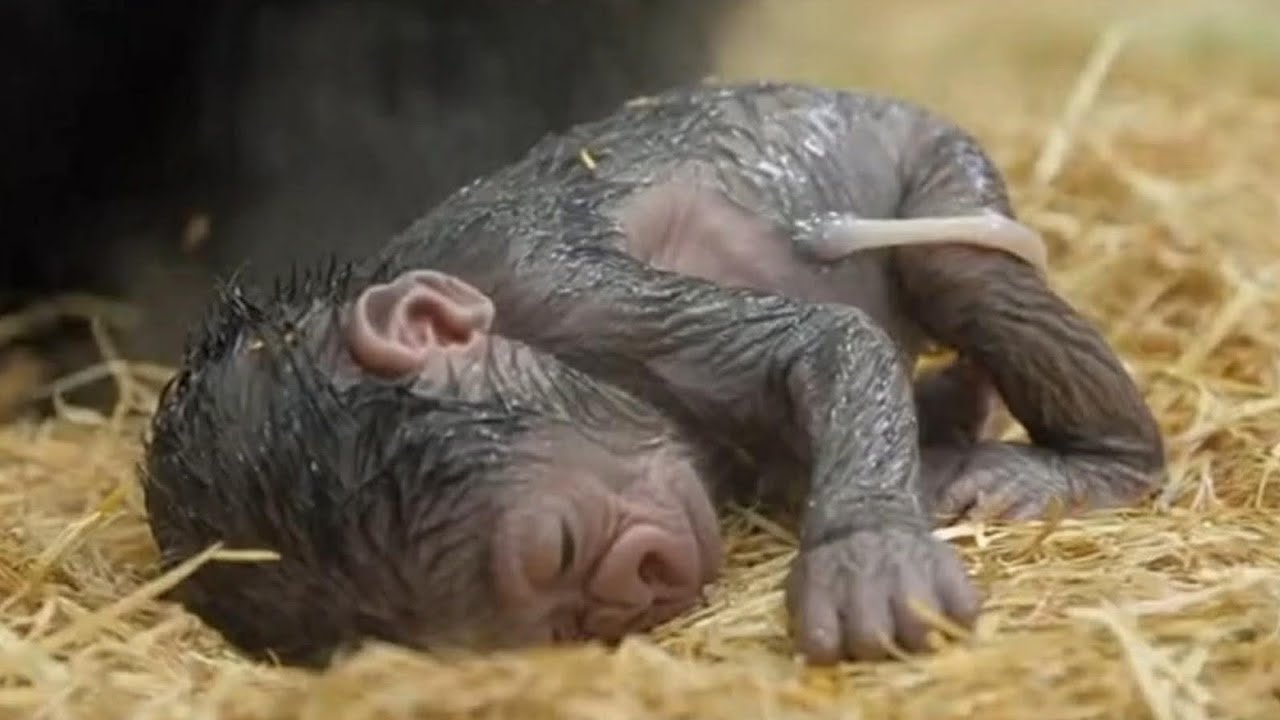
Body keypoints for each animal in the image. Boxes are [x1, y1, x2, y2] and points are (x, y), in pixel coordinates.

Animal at [141, 81, 1165, 669]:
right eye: (558, 618)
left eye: (554, 548)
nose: (628, 588)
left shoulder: (571, 290)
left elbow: (827, 342)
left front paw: (867, 556)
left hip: (932, 155)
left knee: (962, 267)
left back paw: (1091, 464)